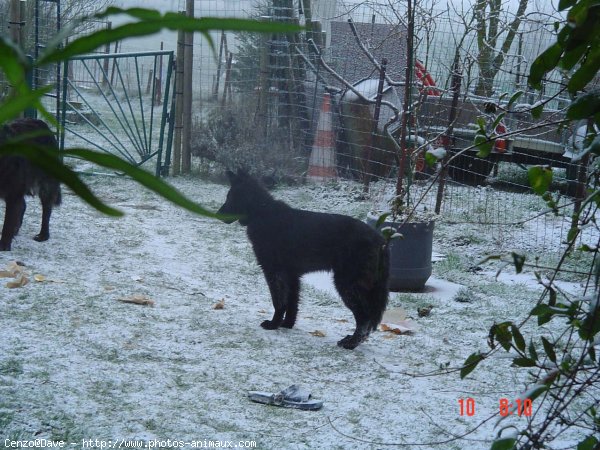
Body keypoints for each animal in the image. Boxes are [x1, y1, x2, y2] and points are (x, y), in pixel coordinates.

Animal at [0, 119, 62, 251]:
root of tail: (40, 122)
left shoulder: (13, 195)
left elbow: (7, 223)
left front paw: (4, 246)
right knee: (23, 205)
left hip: (45, 184)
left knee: (47, 210)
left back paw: (43, 235)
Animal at [219, 171, 390, 350]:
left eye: (230, 198)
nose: (217, 214)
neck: (261, 213)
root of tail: (381, 241)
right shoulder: (292, 275)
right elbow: (292, 303)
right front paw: (286, 324)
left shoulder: (274, 272)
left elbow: (279, 302)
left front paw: (273, 324)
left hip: (347, 284)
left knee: (364, 316)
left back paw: (351, 343)